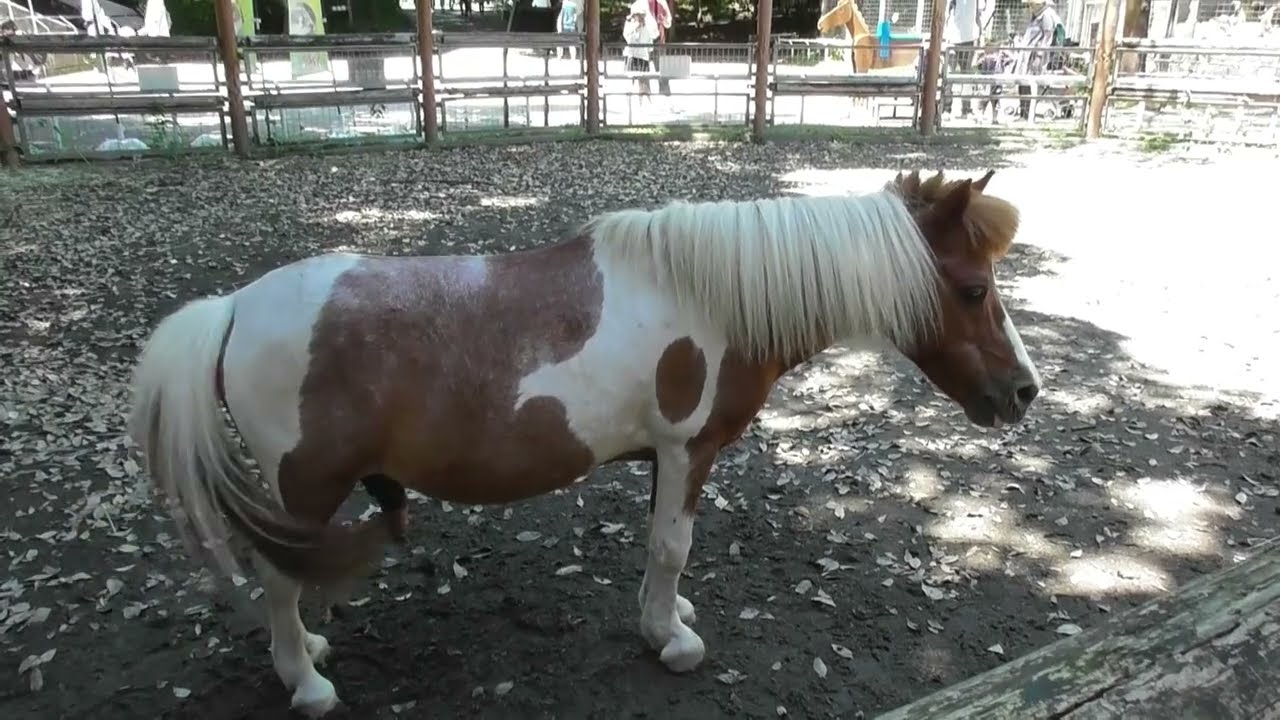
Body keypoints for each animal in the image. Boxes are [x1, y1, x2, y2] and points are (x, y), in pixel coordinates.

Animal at [128, 169, 1040, 717]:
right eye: (973, 289)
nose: (1025, 393)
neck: (713, 295)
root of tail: (234, 308)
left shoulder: (666, 459)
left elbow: (659, 548)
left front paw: (665, 616)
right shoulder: (689, 449)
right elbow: (672, 546)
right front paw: (671, 640)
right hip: (307, 488)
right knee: (280, 581)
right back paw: (308, 683)